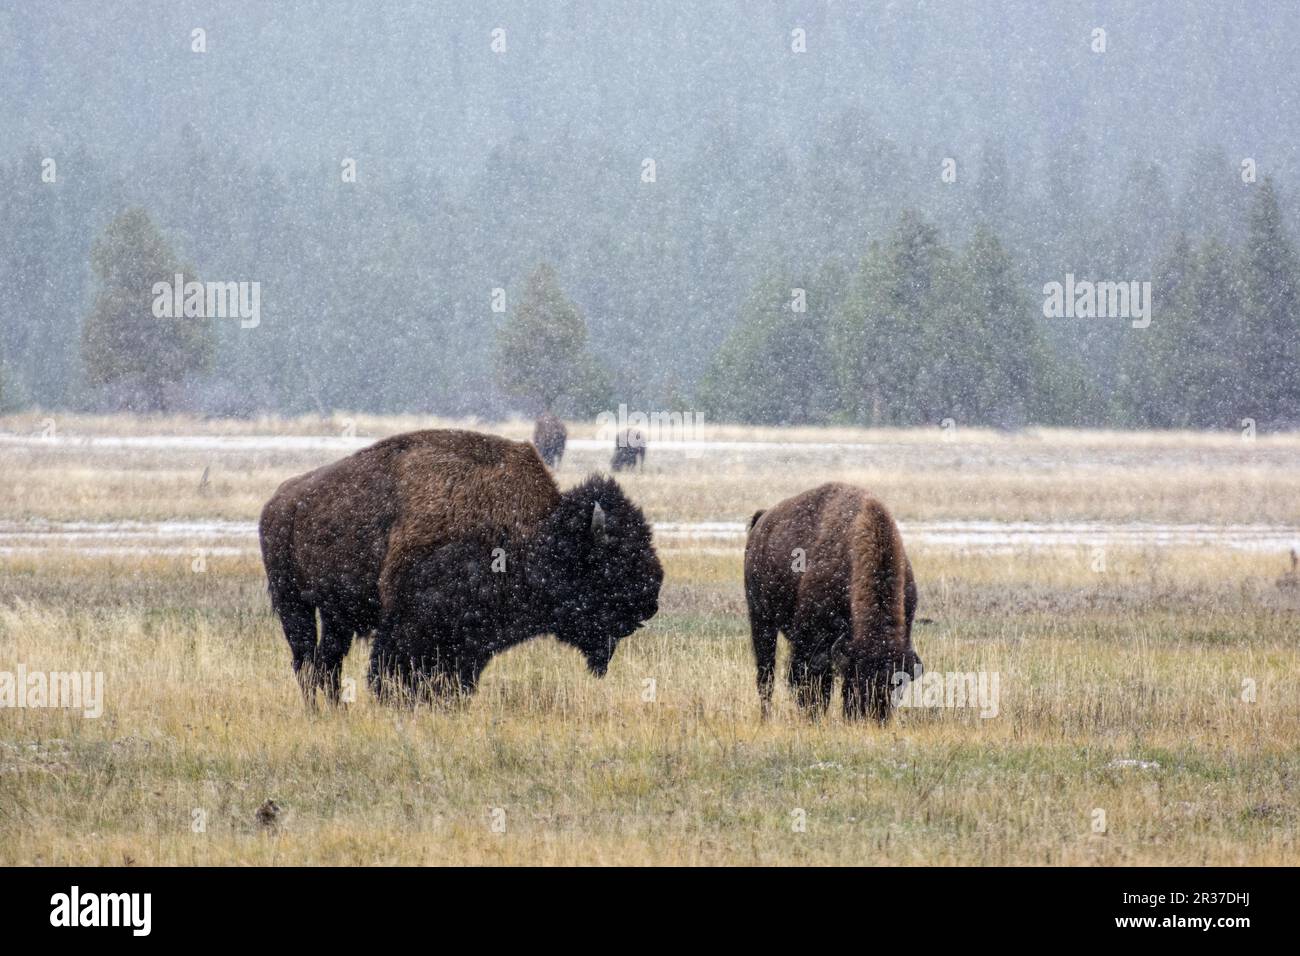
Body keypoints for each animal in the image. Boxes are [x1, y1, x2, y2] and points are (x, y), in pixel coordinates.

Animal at [256, 429, 660, 707]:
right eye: (615, 559)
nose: (651, 601)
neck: (536, 532)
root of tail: (279, 501)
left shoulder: (470, 644)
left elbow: (457, 681)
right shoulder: (408, 628)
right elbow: (392, 674)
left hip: (338, 614)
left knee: (327, 662)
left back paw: (335, 708)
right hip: (293, 604)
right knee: (306, 660)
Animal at [748, 481, 920, 723]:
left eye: (897, 684)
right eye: (859, 678)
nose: (875, 717)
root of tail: (762, 520)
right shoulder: (813, 640)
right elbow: (813, 683)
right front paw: (813, 716)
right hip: (761, 620)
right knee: (766, 675)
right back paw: (766, 716)